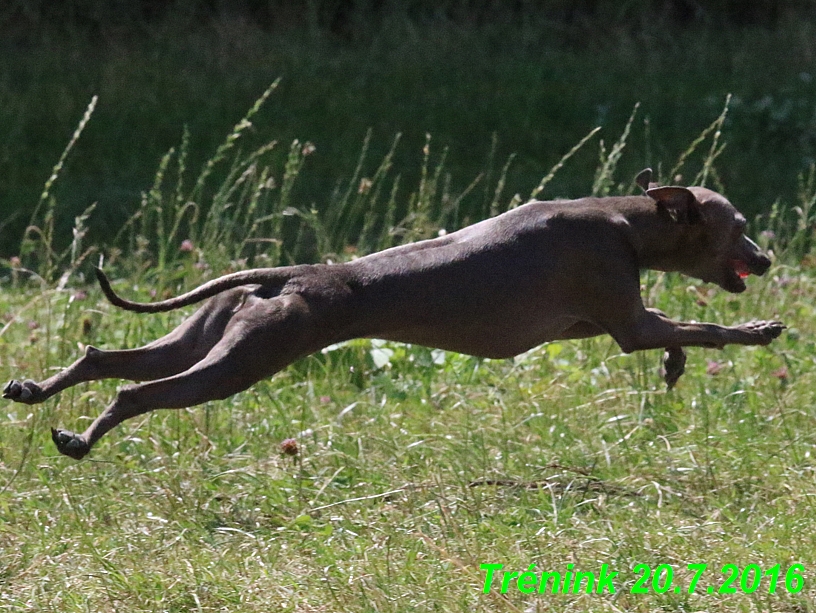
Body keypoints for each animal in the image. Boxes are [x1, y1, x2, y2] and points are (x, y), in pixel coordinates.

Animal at [4, 169, 784, 460]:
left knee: (103, 358)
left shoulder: (605, 323)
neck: (624, 221)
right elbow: (705, 328)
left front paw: (675, 364)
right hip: (238, 364)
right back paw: (79, 438)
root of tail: (285, 276)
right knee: (134, 393)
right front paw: (759, 330)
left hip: (204, 341)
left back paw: (34, 391)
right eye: (741, 225)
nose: (769, 258)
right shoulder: (624, 317)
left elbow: (676, 334)